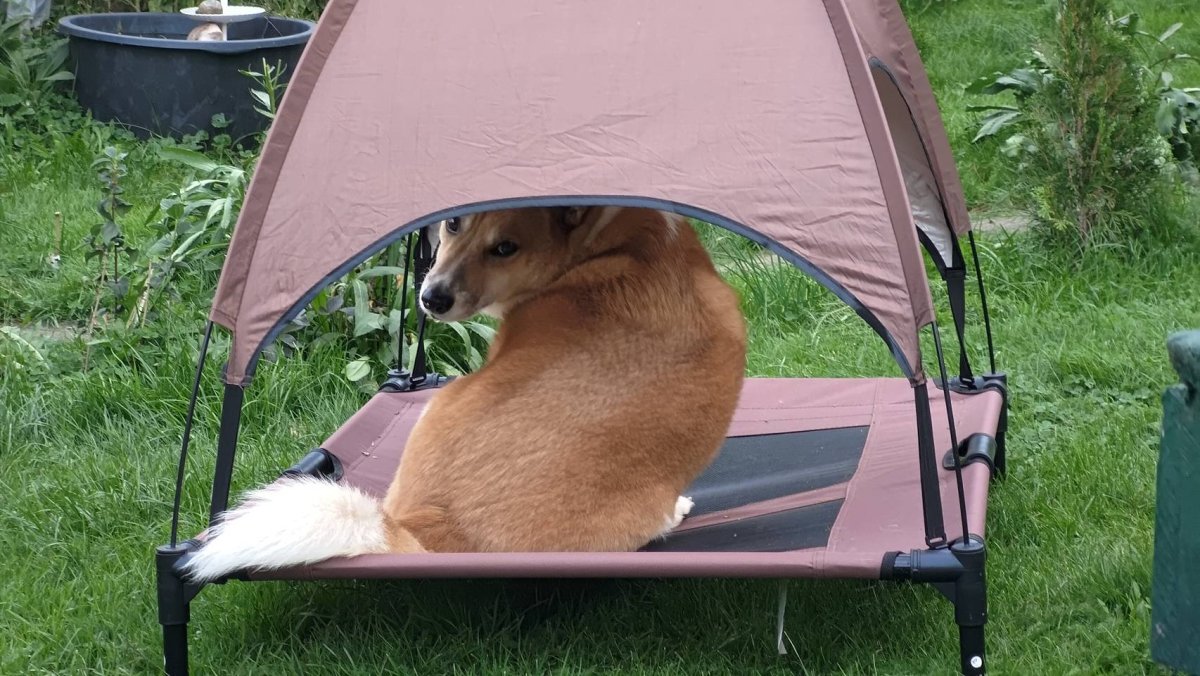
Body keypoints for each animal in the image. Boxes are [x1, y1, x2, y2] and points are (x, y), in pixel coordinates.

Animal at [182, 206, 747, 581]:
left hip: (438, 405)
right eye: (452, 224)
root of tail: (416, 530)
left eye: (505, 247)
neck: (616, 241)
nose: (431, 298)